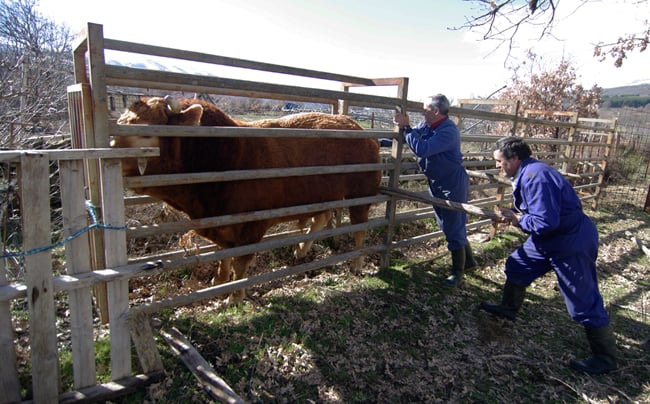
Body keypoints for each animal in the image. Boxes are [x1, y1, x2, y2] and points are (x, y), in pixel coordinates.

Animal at [116, 96, 380, 302]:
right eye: (121, 122)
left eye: (146, 133)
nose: (110, 147)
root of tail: (357, 127)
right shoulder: (221, 225)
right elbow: (223, 256)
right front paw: (218, 280)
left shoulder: (251, 227)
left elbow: (240, 263)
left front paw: (234, 296)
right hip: (322, 195)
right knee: (322, 218)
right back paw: (300, 251)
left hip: (361, 194)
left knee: (360, 229)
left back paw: (356, 264)